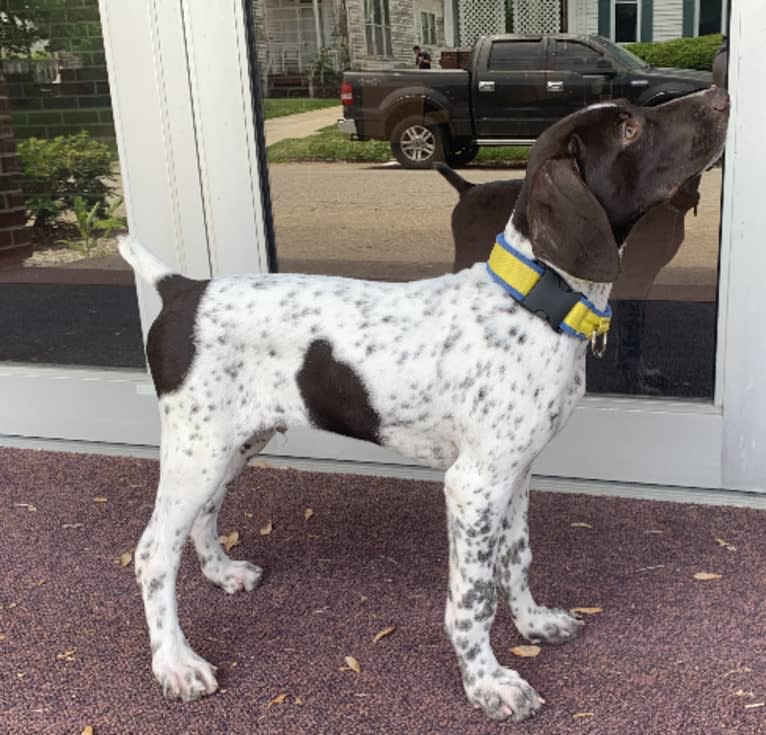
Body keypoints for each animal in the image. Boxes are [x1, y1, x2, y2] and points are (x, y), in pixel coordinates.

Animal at [121, 85, 732, 720]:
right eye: (630, 129)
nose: (720, 95)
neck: (532, 300)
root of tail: (182, 288)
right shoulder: (473, 485)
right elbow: (473, 597)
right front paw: (487, 682)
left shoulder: (515, 473)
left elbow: (516, 559)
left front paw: (532, 624)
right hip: (199, 447)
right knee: (152, 552)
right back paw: (175, 663)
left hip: (235, 441)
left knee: (202, 515)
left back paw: (222, 573)